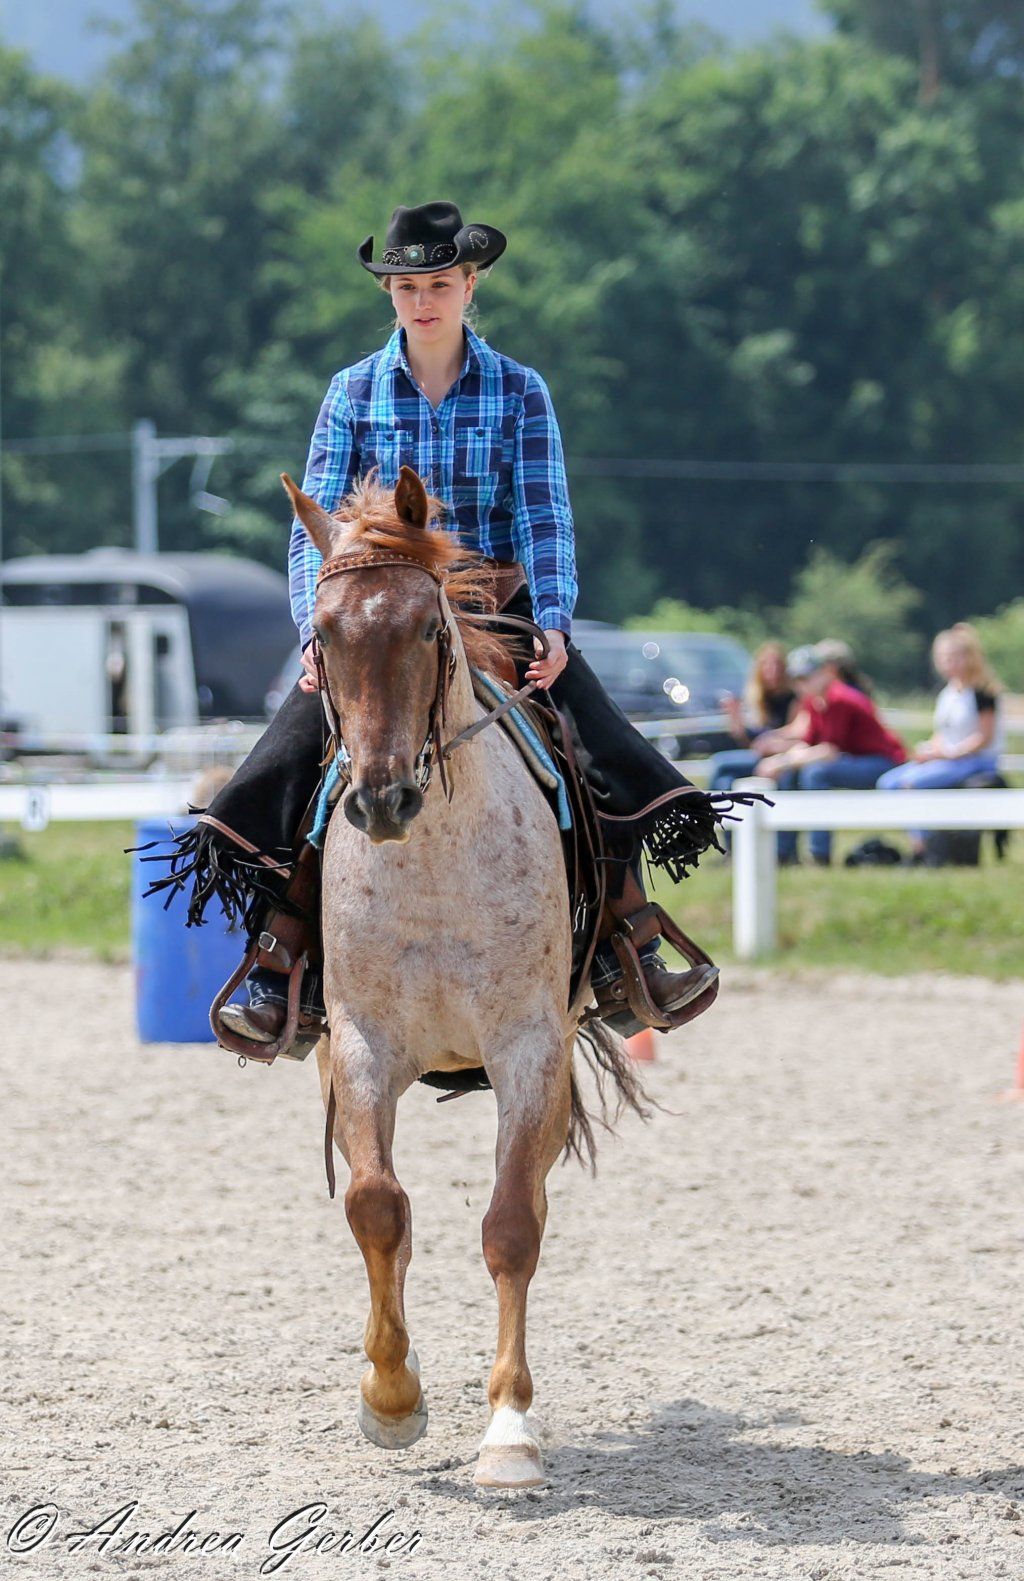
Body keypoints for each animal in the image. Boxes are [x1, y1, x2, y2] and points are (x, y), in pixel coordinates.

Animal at [282, 465, 644, 1489]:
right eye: (324, 633)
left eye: (425, 629)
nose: (381, 798)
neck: (436, 864)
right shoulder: (360, 1048)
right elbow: (376, 1206)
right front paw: (390, 1396)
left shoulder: (529, 1051)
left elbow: (511, 1225)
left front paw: (510, 1430)